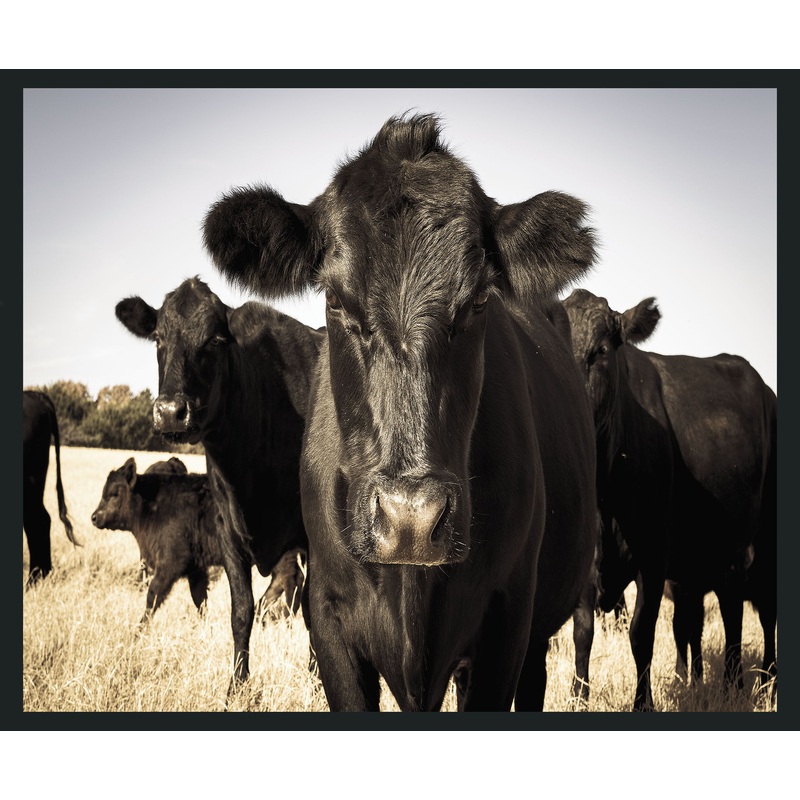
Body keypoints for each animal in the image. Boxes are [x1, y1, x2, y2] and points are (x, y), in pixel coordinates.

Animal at [91, 457, 223, 622]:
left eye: (114, 493)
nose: (94, 517)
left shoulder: (169, 563)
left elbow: (152, 596)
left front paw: (140, 626)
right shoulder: (196, 568)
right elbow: (200, 599)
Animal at [115, 278, 323, 698]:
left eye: (214, 339)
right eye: (158, 337)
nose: (170, 412)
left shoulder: (311, 539)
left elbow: (313, 613)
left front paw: (316, 683)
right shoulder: (228, 533)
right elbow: (241, 611)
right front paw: (237, 686)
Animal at [563, 288, 777, 710]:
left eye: (601, 351)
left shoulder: (653, 553)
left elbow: (641, 633)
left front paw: (643, 703)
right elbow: (583, 631)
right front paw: (579, 697)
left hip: (767, 539)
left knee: (765, 612)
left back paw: (767, 682)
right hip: (720, 551)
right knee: (727, 609)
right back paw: (730, 685)